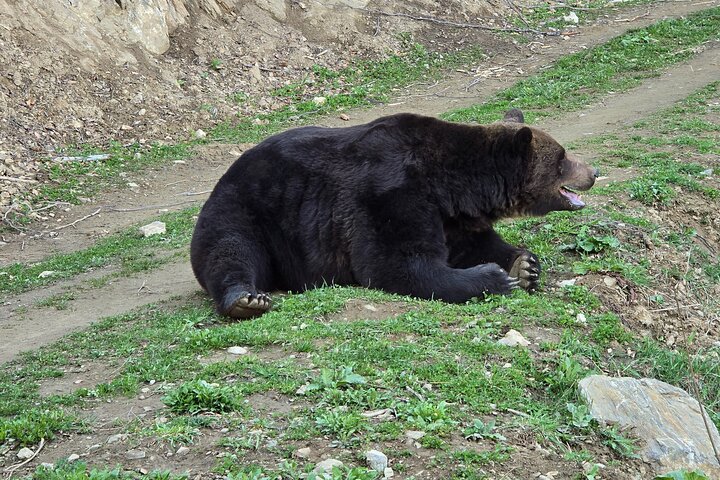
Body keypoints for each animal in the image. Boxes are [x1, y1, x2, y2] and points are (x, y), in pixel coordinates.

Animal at [190, 109, 598, 319]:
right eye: (563, 159)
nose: (592, 172)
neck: (452, 185)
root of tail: (220, 181)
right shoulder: (391, 193)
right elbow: (397, 263)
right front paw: (493, 278)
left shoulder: (451, 218)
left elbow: (475, 243)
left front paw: (524, 265)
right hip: (249, 211)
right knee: (230, 251)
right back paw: (246, 299)